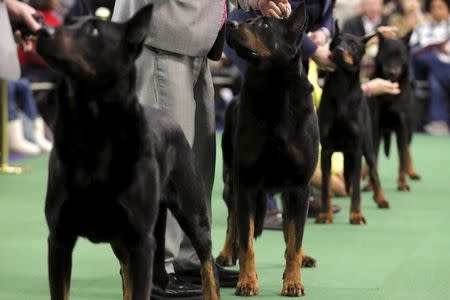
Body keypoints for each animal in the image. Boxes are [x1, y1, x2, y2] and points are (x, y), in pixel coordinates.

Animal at [34, 4, 220, 300]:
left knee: (207, 261)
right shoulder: (59, 238)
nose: (42, 31)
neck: (94, 130)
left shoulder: (140, 240)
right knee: (127, 272)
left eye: (94, 31)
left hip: (192, 210)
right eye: (69, 24)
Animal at [216, 2, 318, 298]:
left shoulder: (299, 185)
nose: (230, 25)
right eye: (249, 20)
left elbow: (294, 239)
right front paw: (247, 281)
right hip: (230, 179)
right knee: (233, 220)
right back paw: (226, 253)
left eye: (264, 25)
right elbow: (246, 242)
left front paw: (293, 282)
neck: (274, 89)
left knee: (290, 228)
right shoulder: (246, 184)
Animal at [316, 25, 390, 225]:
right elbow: (326, 185)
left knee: (373, 171)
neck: (342, 86)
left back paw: (381, 199)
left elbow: (357, 186)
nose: (338, 50)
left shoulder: (356, 149)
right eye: (335, 41)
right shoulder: (326, 150)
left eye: (354, 44)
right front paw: (325, 214)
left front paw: (356, 215)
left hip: (368, 145)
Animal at [368, 32, 420, 191]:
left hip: (409, 130)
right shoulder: (375, 127)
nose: (391, 72)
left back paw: (412, 172)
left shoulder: (402, 128)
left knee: (407, 151)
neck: (389, 95)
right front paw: (371, 185)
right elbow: (374, 159)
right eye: (386, 55)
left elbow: (401, 160)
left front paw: (402, 183)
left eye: (400, 56)